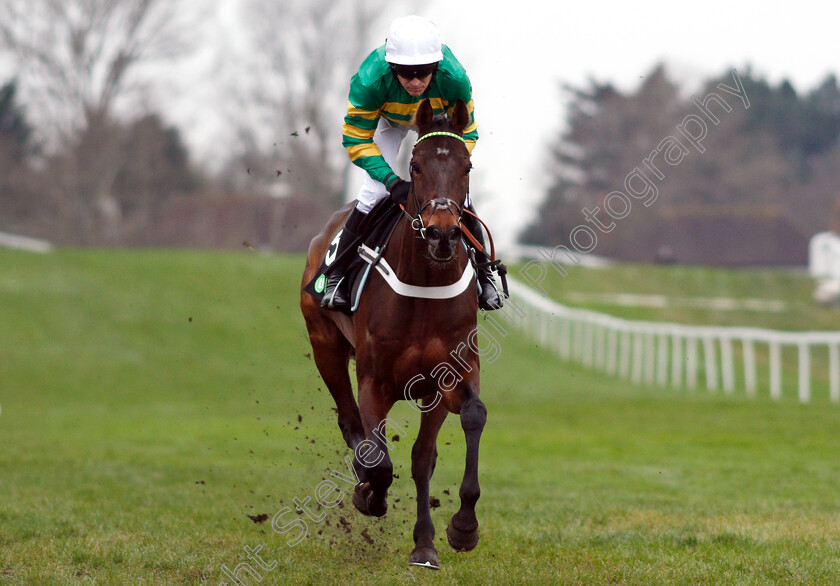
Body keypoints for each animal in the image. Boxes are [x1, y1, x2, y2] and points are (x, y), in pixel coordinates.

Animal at [300, 98, 486, 568]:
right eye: (416, 166)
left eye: (467, 167)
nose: (442, 233)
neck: (425, 286)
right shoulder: (375, 382)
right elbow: (379, 457)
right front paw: (370, 495)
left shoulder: (446, 378)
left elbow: (441, 444)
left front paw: (452, 533)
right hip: (324, 345)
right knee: (350, 423)